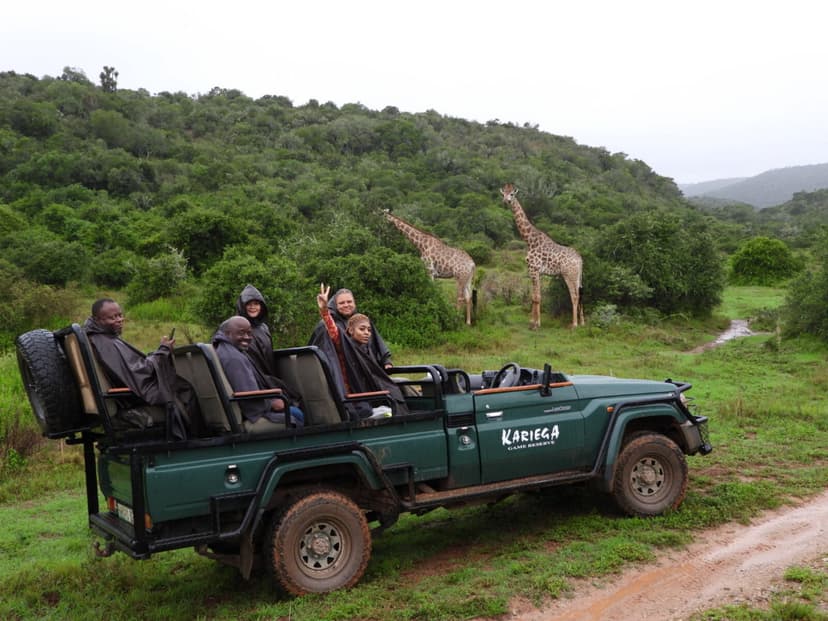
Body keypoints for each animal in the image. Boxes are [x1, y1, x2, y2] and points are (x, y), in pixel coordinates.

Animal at [500, 183, 585, 329]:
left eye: (512, 194)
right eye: (503, 193)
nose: (506, 201)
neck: (529, 240)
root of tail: (580, 260)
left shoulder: (533, 269)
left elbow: (536, 297)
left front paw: (536, 324)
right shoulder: (536, 271)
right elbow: (535, 296)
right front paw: (532, 322)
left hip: (569, 275)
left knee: (574, 296)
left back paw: (574, 324)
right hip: (578, 276)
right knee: (581, 294)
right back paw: (582, 323)